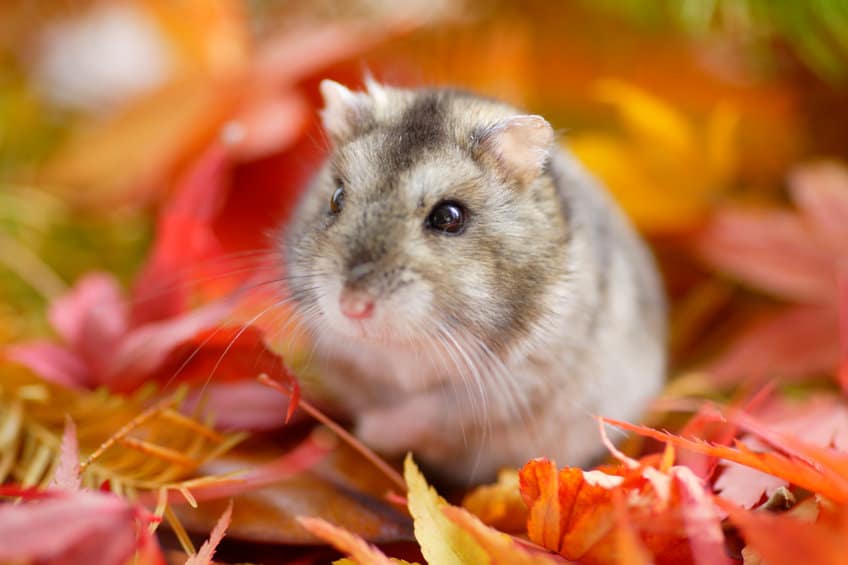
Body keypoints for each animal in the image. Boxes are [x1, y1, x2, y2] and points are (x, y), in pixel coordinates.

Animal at [282, 79, 664, 482]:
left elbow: (432, 410)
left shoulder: (512, 386)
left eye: (449, 216)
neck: (400, 350)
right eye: (336, 198)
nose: (352, 307)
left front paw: (371, 430)